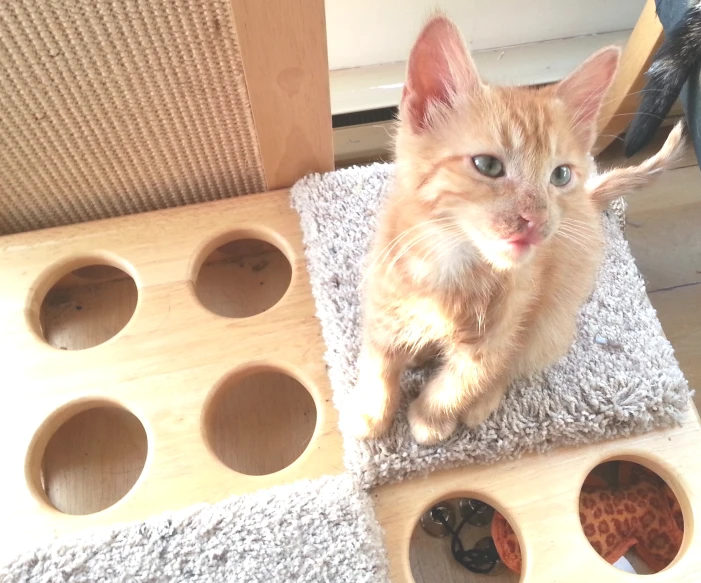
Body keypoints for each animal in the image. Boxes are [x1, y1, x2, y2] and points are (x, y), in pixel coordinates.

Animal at [350, 17, 684, 448]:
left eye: (560, 175)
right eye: (488, 165)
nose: (536, 219)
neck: (449, 261)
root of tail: (588, 202)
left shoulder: (493, 337)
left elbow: (459, 381)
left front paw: (429, 418)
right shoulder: (384, 302)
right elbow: (378, 361)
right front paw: (370, 411)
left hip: (550, 324)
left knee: (514, 360)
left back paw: (481, 401)